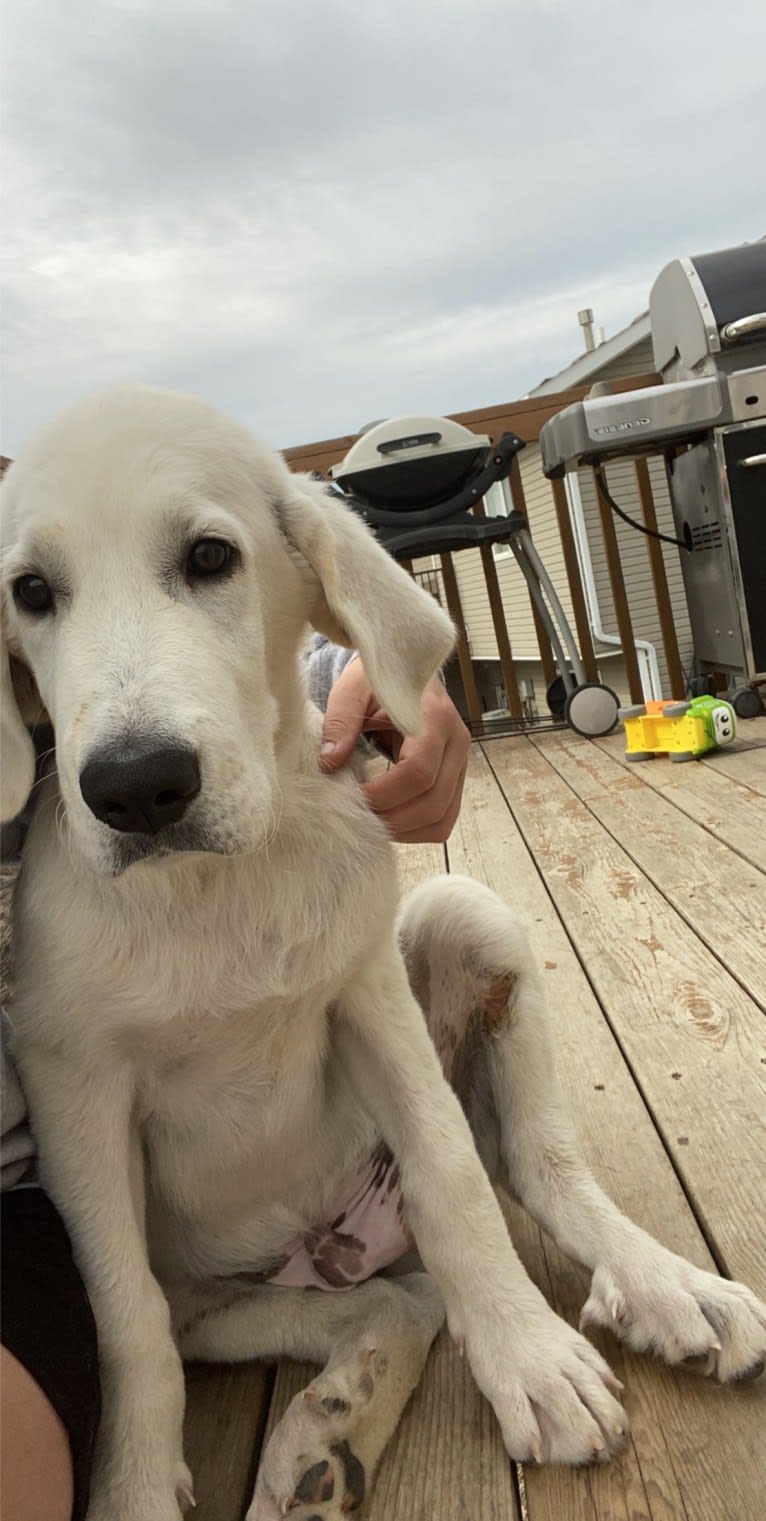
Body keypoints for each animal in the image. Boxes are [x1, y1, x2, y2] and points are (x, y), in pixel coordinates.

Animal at [0, 383, 762, 1521]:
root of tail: (329, 1245)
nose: (137, 787)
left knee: (532, 1170)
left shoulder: (364, 998)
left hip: (465, 910)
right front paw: (132, 1488)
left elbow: (452, 1172)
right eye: (32, 592)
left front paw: (529, 1359)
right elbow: (125, 1322)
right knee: (392, 1306)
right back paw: (325, 1432)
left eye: (211, 557)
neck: (216, 887)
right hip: (225, 1298)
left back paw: (668, 1286)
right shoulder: (72, 1086)